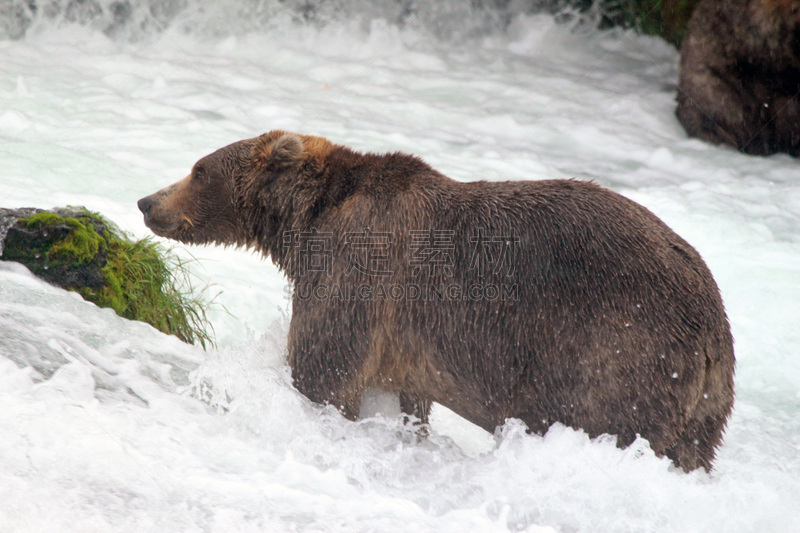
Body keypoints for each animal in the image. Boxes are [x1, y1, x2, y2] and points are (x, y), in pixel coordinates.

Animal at [134, 131, 736, 472]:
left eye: (199, 168)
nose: (146, 201)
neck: (306, 224)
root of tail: (712, 333)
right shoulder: (408, 338)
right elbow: (407, 396)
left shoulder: (361, 268)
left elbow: (323, 368)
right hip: (704, 408)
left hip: (614, 348)